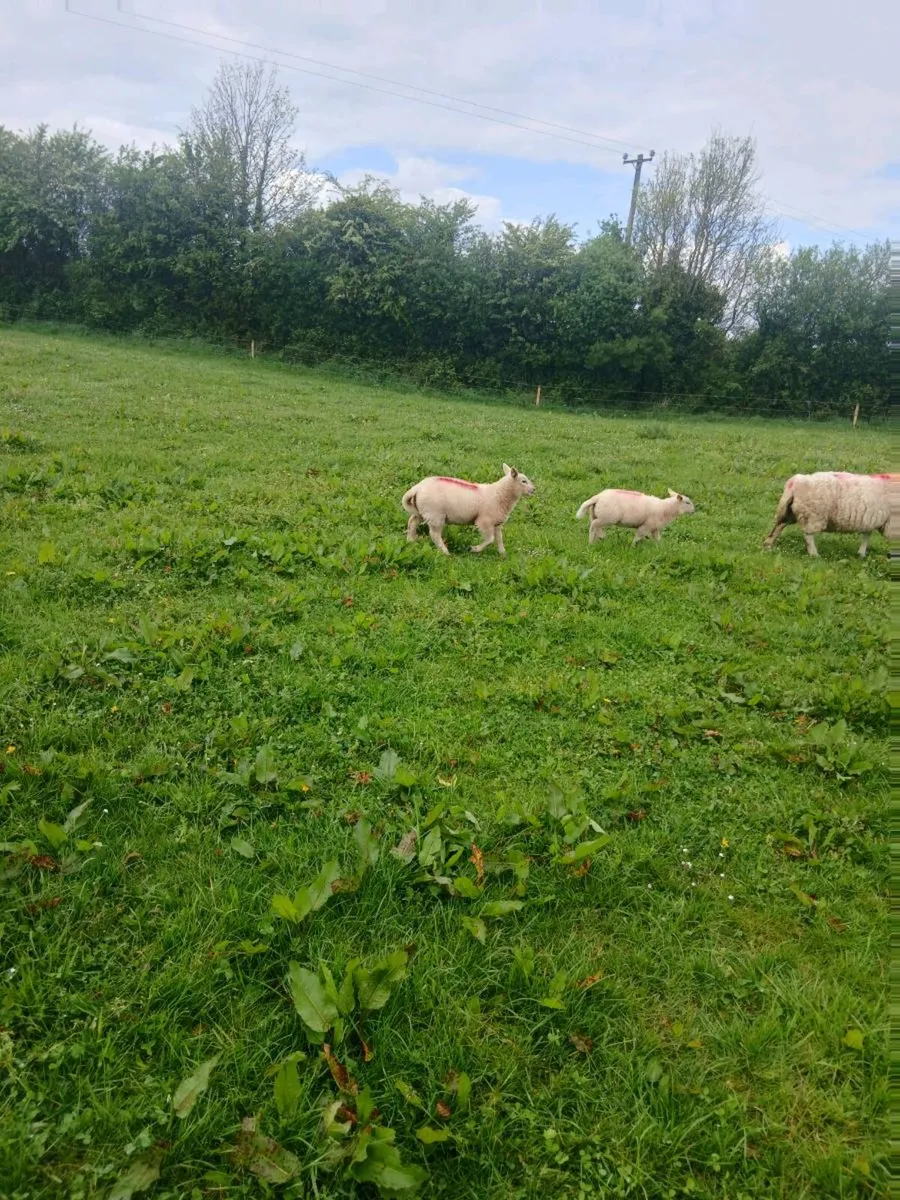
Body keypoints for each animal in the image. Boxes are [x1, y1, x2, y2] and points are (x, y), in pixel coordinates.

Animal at [401, 463, 536, 556]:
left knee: (412, 522)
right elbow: (490, 539)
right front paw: (474, 549)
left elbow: (499, 538)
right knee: (434, 535)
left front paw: (503, 553)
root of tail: (418, 487)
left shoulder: (497, 522)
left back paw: (410, 540)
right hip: (435, 515)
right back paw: (445, 552)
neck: (499, 494)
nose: (534, 490)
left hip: (421, 511)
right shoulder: (484, 521)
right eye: (524, 481)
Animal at [763, 471, 898, 558]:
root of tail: (795, 482)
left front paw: (861, 554)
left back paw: (768, 544)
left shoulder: (870, 519)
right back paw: (814, 554)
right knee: (808, 535)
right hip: (812, 515)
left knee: (778, 526)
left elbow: (866, 535)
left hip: (790, 512)